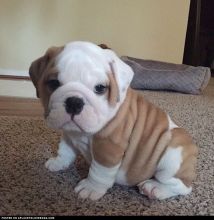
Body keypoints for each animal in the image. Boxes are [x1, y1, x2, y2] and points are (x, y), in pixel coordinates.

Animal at [29, 41, 198, 201]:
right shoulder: (68, 134)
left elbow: (99, 171)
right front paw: (58, 163)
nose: (74, 102)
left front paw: (91, 188)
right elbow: (65, 150)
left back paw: (155, 188)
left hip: (171, 157)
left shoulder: (107, 146)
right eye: (53, 83)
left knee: (182, 186)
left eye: (100, 88)